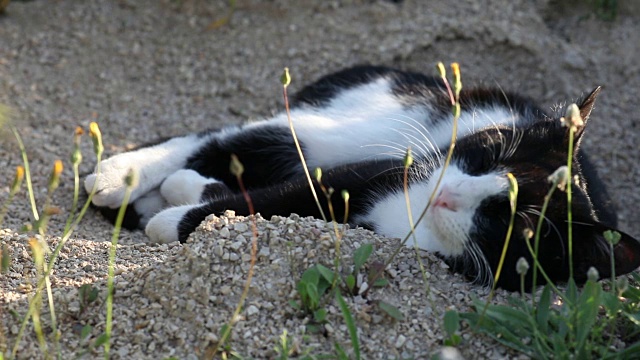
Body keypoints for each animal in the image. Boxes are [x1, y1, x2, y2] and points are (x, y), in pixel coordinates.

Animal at [86, 65, 640, 290]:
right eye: (485, 155)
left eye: (515, 224)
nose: (449, 193)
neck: (412, 219)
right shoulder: (380, 170)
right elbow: (284, 194)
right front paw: (175, 213)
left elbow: (258, 204)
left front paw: (174, 215)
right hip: (365, 125)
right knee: (232, 136)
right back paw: (121, 176)